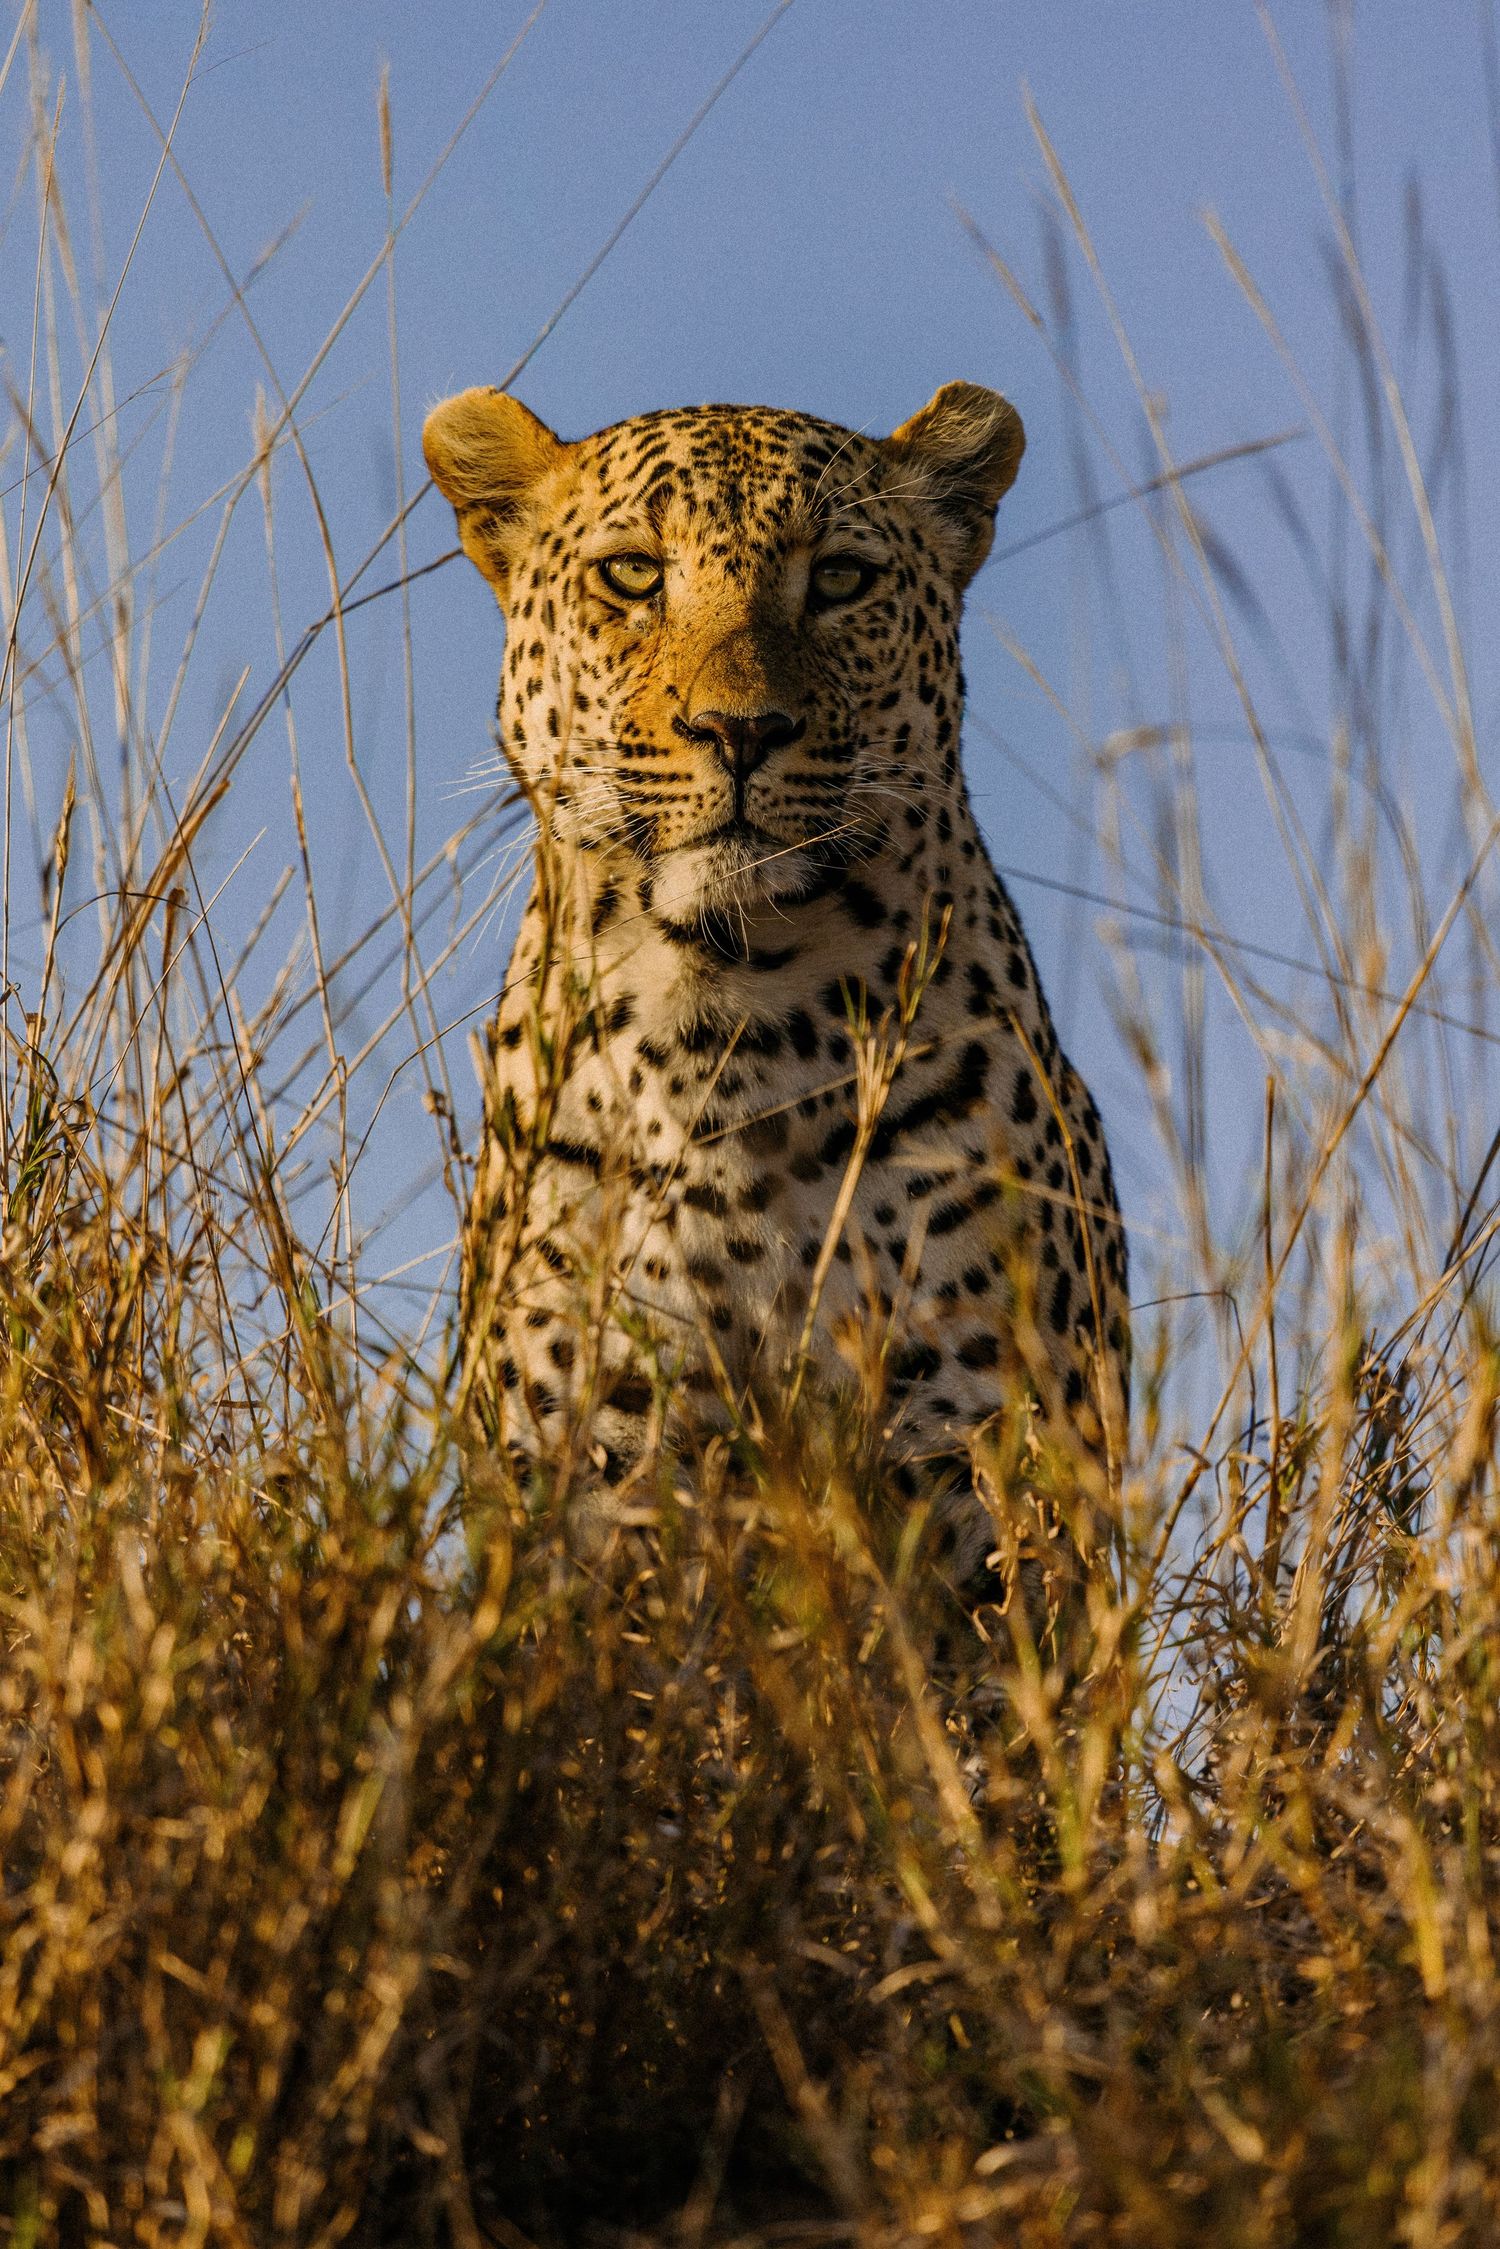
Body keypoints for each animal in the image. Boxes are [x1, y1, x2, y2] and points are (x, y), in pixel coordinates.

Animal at [424, 379, 1129, 1598]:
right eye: (633, 574)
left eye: (839, 578)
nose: (740, 729)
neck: (728, 1020)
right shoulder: (594, 1473)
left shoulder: (984, 1471)